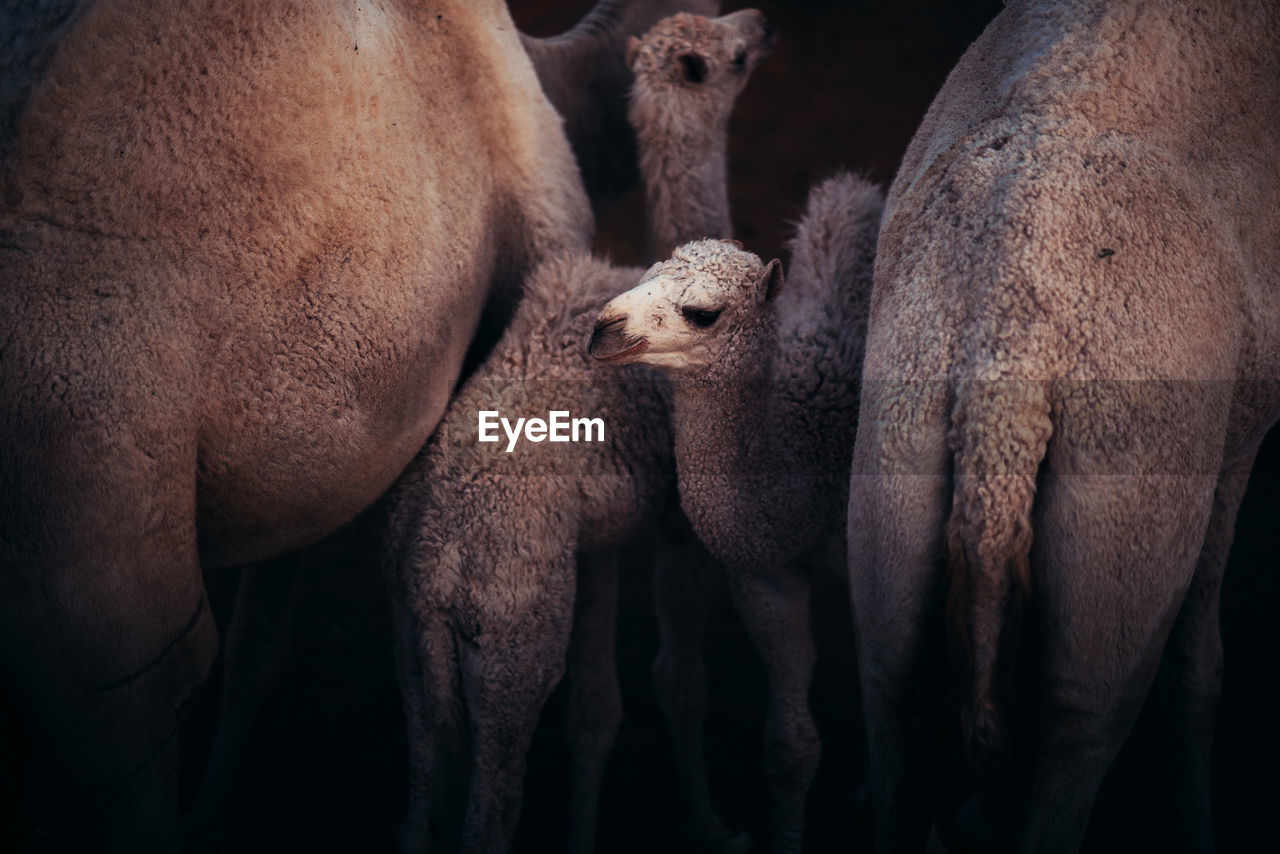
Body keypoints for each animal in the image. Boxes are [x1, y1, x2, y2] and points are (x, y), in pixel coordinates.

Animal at [849, 3, 1280, 850]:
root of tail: (1005, 355)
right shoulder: (1239, 433)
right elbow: (1198, 670)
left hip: (892, 474)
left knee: (891, 711)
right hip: (1123, 541)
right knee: (1080, 731)